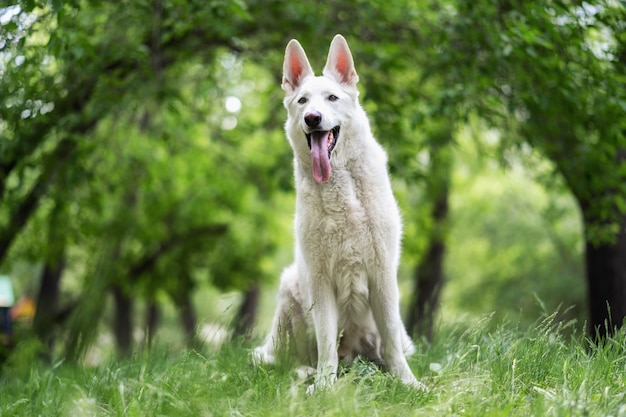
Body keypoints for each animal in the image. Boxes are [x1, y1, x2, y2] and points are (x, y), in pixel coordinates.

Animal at [251, 33, 422, 390]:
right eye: (302, 101)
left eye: (332, 98)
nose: (313, 118)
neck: (341, 185)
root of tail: (352, 357)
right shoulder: (320, 281)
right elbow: (326, 342)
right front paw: (324, 387)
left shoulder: (383, 275)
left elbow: (391, 342)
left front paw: (408, 383)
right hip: (289, 291)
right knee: (287, 360)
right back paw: (307, 372)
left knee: (387, 347)